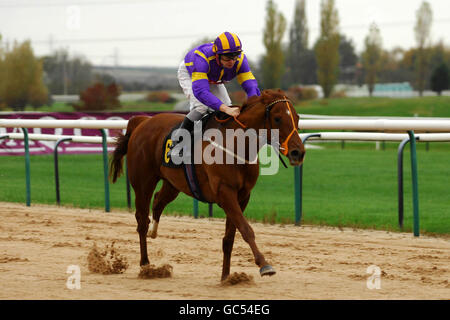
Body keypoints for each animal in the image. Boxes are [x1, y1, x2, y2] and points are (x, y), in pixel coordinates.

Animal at [109, 89, 306, 282]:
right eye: (277, 118)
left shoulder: (243, 196)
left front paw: (227, 276)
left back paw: (154, 232)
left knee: (158, 201)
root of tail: (142, 121)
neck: (236, 144)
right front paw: (265, 265)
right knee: (142, 219)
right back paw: (145, 264)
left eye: (297, 117)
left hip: (173, 183)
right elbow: (246, 229)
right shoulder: (225, 192)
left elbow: (230, 237)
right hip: (143, 182)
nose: (298, 152)